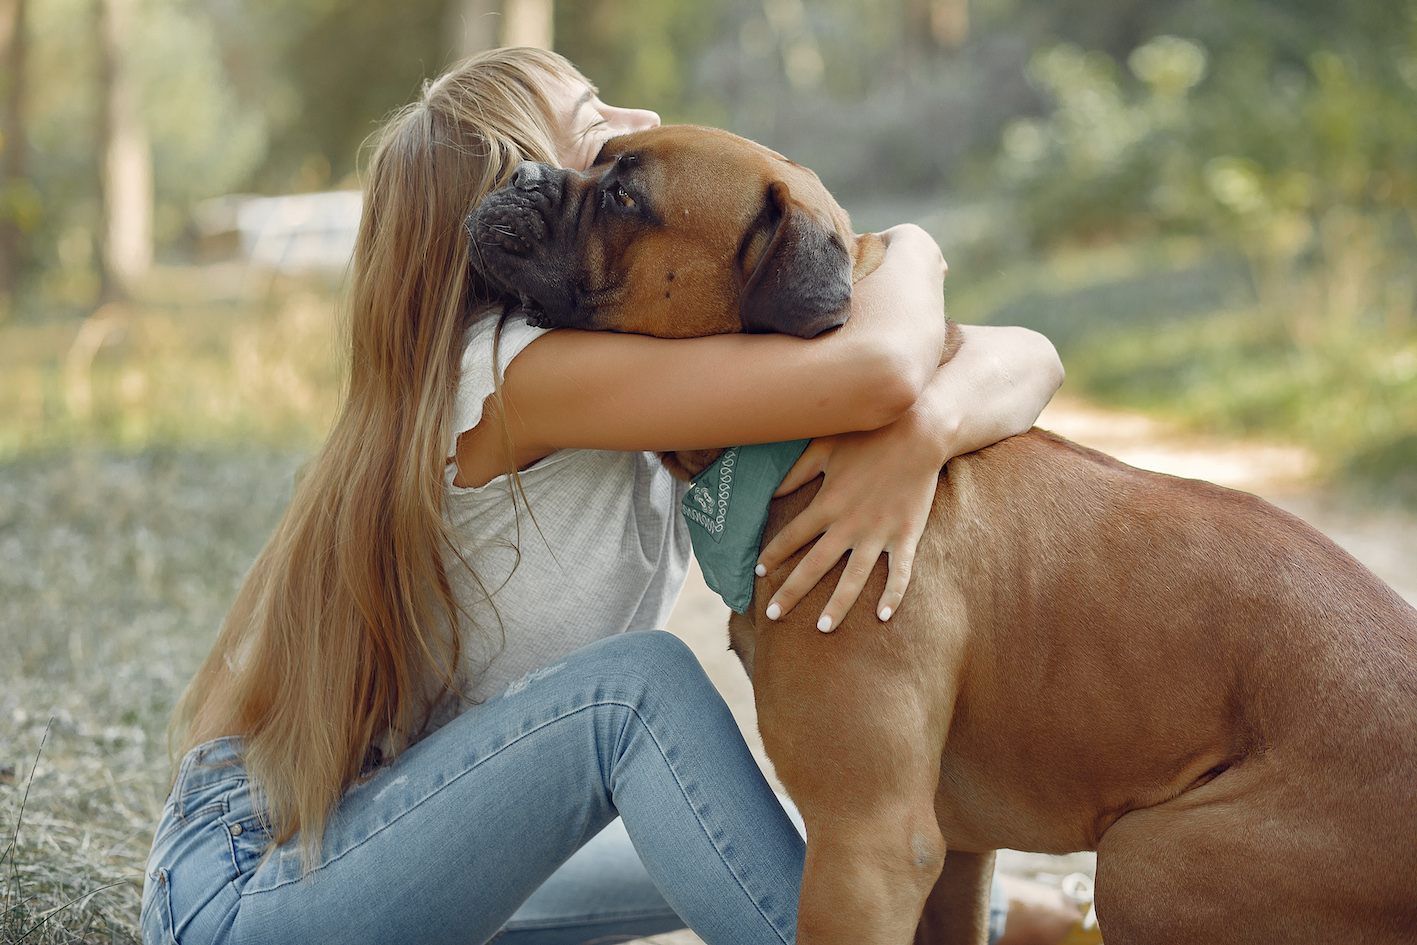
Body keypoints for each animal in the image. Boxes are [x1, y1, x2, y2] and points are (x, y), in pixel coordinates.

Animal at [470, 127, 1417, 945]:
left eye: (623, 196)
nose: (518, 175)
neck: (797, 440)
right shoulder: (955, 851)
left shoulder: (866, 848)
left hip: (1149, 861)